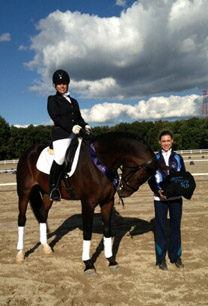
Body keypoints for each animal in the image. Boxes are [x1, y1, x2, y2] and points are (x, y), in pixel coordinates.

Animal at [16, 131, 159, 272]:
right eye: (141, 174)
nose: (124, 192)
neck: (100, 161)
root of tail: (29, 151)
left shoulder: (107, 202)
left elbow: (107, 230)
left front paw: (111, 261)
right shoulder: (88, 203)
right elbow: (87, 231)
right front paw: (88, 264)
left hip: (47, 194)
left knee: (42, 215)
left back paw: (46, 247)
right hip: (24, 191)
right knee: (22, 218)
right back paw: (20, 254)